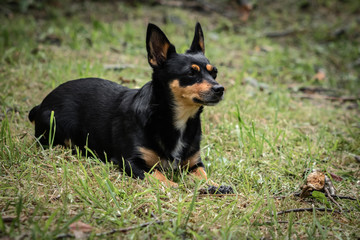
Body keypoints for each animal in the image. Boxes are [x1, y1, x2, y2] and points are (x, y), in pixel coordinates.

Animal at [29, 22, 228, 188]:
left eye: (214, 73)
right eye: (190, 73)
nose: (220, 88)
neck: (174, 119)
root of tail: (42, 104)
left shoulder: (194, 164)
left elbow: (203, 174)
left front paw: (215, 185)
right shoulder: (131, 162)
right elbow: (157, 174)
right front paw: (174, 186)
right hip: (54, 124)